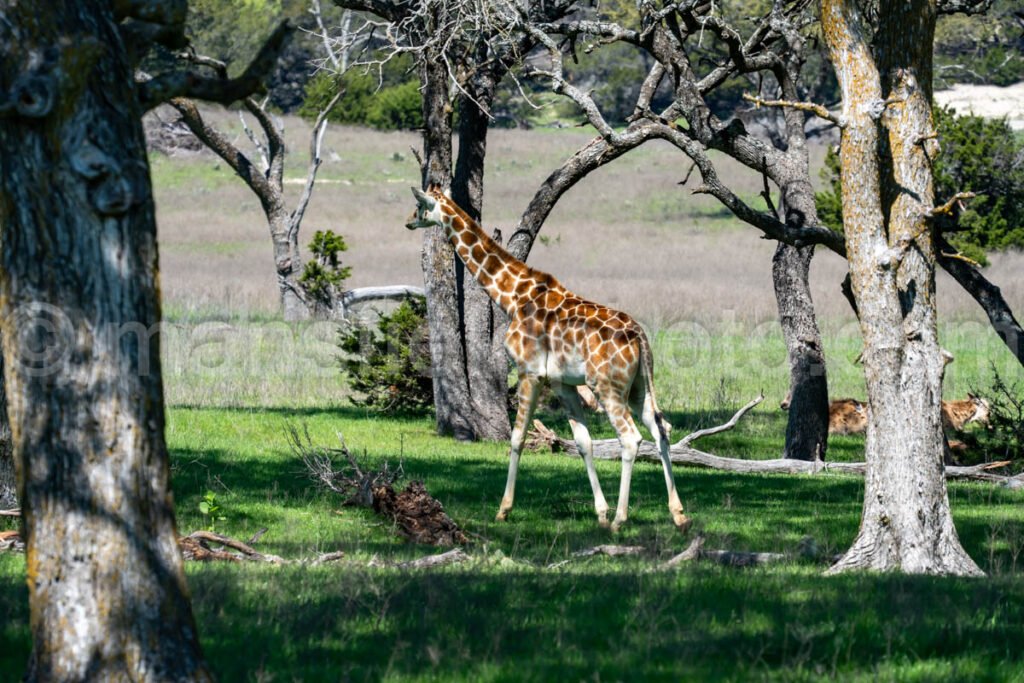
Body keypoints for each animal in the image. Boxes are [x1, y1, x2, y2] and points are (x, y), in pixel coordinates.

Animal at [405, 187, 688, 532]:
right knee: (662, 429)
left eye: (419, 204)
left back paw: (621, 519)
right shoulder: (561, 382)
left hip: (607, 386)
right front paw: (600, 512)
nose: (408, 221)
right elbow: (583, 442)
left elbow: (516, 438)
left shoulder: (529, 372)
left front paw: (503, 509)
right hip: (638, 387)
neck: (513, 296)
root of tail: (639, 337)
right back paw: (678, 514)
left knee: (631, 438)